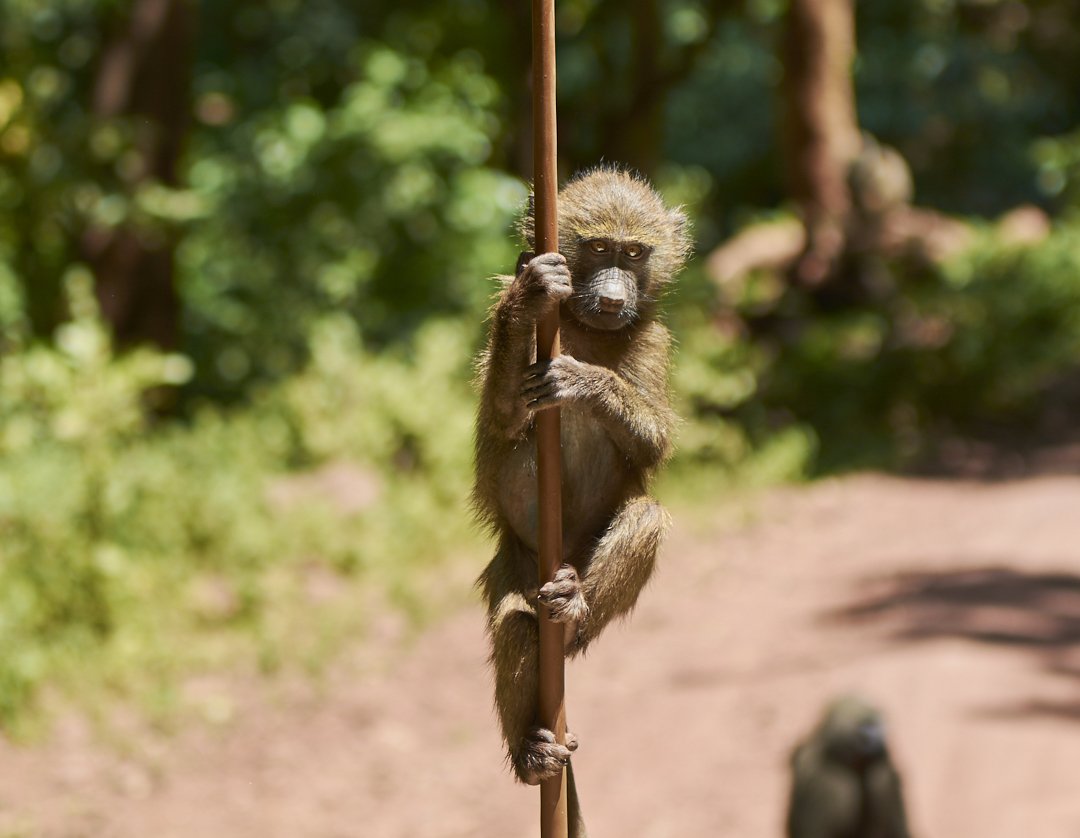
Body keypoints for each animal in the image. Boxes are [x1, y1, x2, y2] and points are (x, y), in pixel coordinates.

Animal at [472, 167, 690, 820]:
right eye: (596, 248)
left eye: (633, 254)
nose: (615, 299)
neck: (588, 328)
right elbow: (503, 418)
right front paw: (532, 294)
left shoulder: (655, 344)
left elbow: (654, 447)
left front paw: (589, 383)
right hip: (518, 564)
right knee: (518, 622)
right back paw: (531, 753)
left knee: (645, 517)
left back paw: (574, 612)